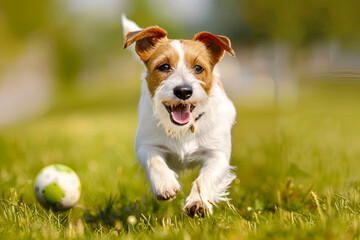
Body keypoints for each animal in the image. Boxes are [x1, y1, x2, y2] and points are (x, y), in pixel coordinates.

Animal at [122, 15, 238, 217]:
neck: (182, 128)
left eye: (198, 68)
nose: (183, 91)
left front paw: (198, 202)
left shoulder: (218, 154)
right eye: (164, 66)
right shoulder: (145, 145)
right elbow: (154, 160)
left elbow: (205, 178)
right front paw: (164, 184)